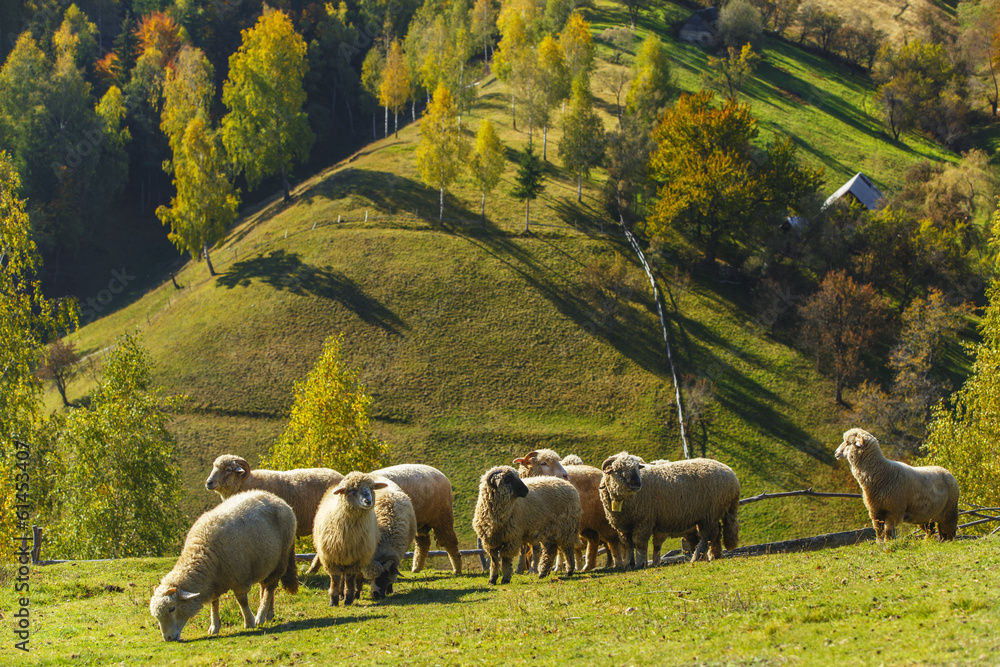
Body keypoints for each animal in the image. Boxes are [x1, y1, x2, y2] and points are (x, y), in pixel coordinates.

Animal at [149, 490, 298, 641]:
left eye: (172, 608)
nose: (168, 638)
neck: (203, 552)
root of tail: (274, 496)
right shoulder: (214, 583)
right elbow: (214, 603)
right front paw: (214, 626)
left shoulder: (239, 577)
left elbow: (242, 601)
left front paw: (249, 622)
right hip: (265, 563)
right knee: (265, 587)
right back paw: (268, 614)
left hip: (281, 559)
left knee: (269, 588)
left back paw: (260, 616)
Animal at [313, 472, 386, 606]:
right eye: (352, 490)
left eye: (371, 488)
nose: (368, 501)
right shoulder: (330, 558)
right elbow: (335, 580)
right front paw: (333, 600)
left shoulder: (356, 559)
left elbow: (350, 579)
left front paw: (348, 599)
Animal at [599, 452, 740, 568]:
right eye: (619, 469)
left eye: (637, 468)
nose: (637, 484)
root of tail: (732, 475)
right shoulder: (623, 527)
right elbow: (628, 544)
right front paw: (629, 563)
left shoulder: (643, 521)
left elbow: (639, 543)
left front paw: (640, 564)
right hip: (713, 513)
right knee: (717, 532)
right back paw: (715, 555)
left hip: (710, 513)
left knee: (708, 535)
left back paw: (697, 557)